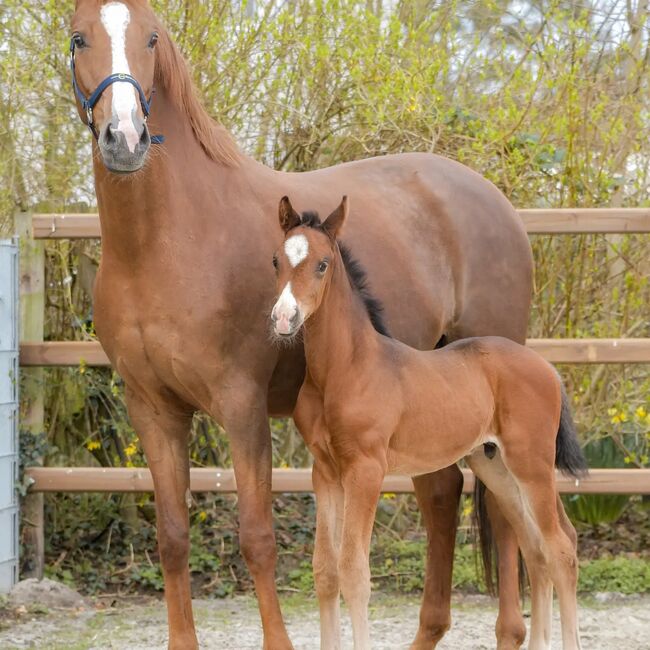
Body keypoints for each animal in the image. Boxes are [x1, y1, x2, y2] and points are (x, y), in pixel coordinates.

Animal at [270, 195, 584, 644]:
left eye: (322, 264)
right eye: (276, 260)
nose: (284, 318)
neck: (346, 368)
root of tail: (547, 368)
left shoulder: (366, 470)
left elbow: (354, 572)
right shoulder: (325, 471)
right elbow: (325, 570)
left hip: (532, 466)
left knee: (560, 549)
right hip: (496, 466)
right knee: (537, 546)